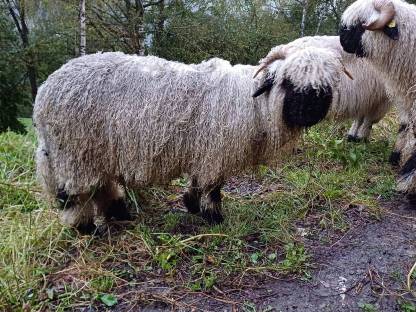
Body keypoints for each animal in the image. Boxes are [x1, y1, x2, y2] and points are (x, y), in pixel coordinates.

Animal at [35, 48, 346, 233]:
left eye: (324, 88)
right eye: (287, 82)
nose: (310, 113)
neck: (252, 105)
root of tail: (44, 91)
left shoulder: (205, 151)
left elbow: (199, 182)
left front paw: (192, 205)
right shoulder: (215, 151)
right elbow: (213, 187)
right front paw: (213, 216)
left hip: (94, 152)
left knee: (100, 185)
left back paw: (119, 213)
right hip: (74, 152)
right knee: (75, 193)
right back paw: (85, 227)